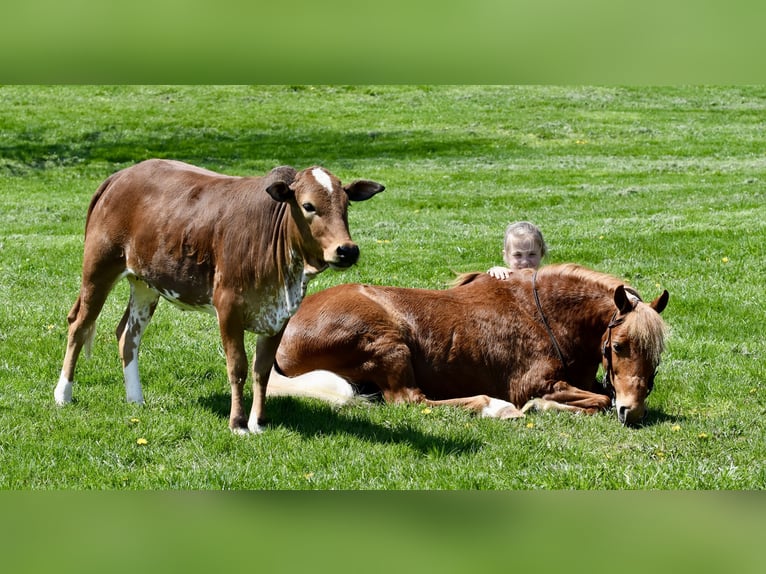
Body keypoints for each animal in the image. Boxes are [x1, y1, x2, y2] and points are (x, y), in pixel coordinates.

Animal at [269, 264, 669, 426]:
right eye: (619, 346)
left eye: (657, 354)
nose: (633, 411)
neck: (543, 314)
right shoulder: (533, 384)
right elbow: (599, 400)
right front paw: (539, 407)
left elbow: (600, 397)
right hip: (388, 345)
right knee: (410, 400)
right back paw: (495, 408)